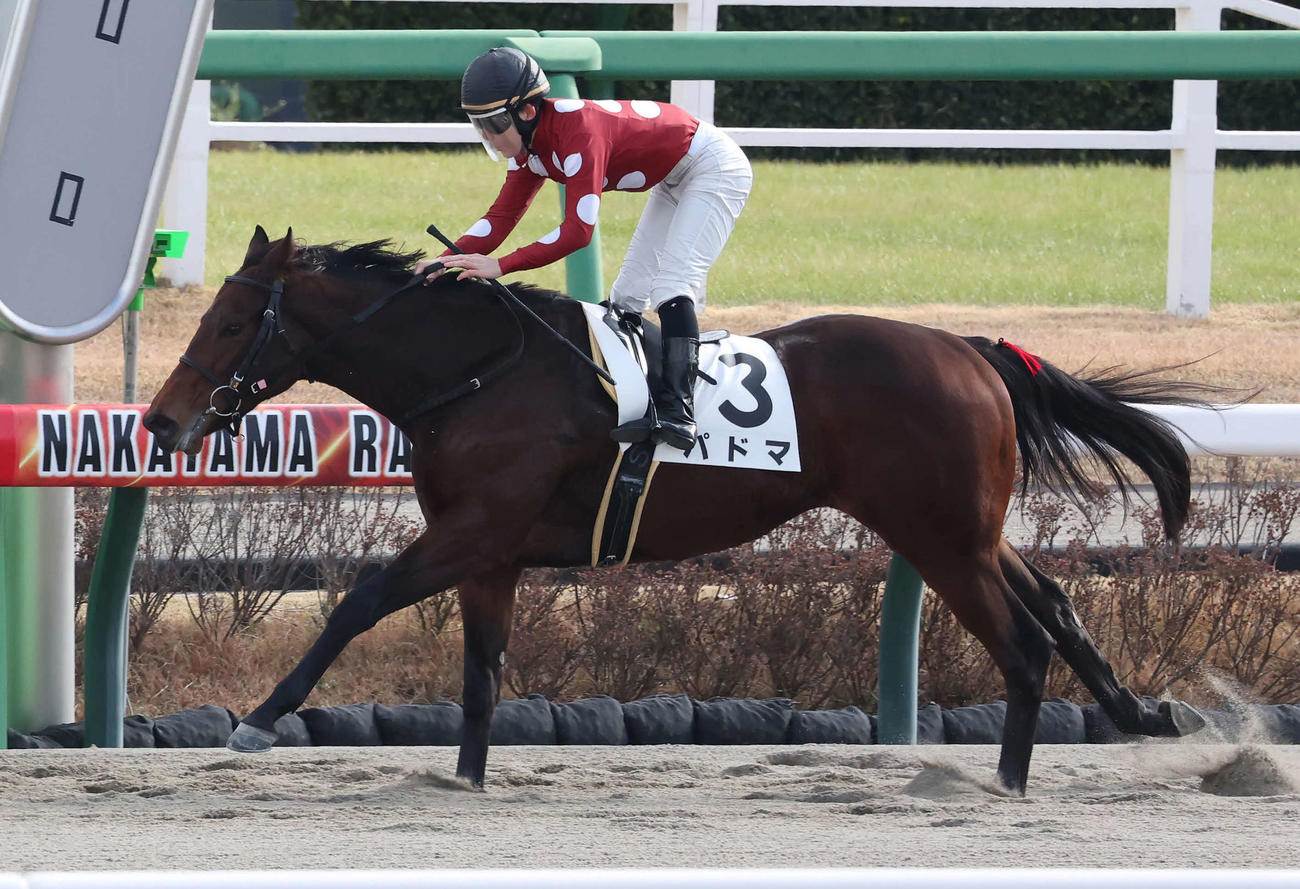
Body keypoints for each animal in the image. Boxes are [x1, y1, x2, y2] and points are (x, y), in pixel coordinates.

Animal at [144, 226, 1213, 796]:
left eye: (231, 321)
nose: (160, 420)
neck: (481, 370)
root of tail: (973, 349)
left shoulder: (472, 530)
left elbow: (357, 602)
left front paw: (259, 719)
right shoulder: (492, 551)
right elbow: (482, 671)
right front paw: (467, 777)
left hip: (940, 536)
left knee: (1023, 642)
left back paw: (1008, 781)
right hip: (965, 531)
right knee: (1057, 604)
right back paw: (1137, 711)